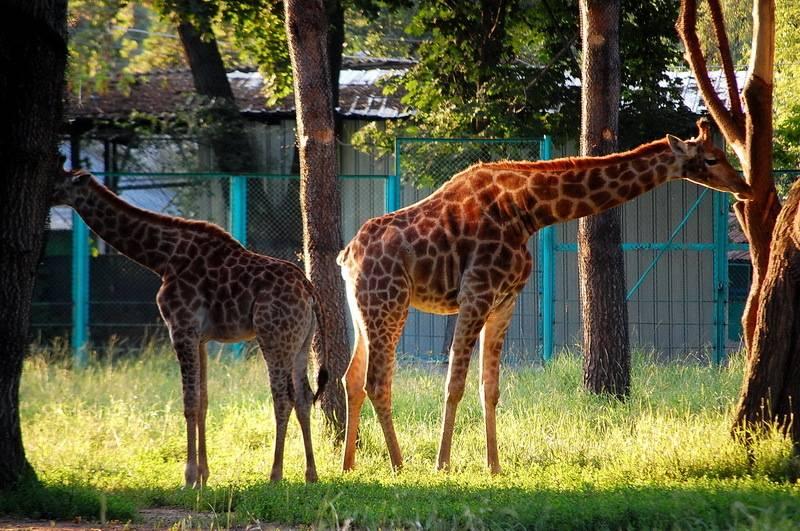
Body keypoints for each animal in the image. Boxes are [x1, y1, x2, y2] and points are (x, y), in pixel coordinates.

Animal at [51, 168, 326, 488]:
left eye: (57, 182)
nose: (46, 196)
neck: (162, 258)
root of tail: (309, 290)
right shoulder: (201, 338)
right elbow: (204, 400)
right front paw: (204, 475)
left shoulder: (181, 328)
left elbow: (189, 402)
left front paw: (189, 477)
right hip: (301, 342)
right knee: (305, 397)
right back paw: (311, 474)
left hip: (274, 337)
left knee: (283, 398)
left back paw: (275, 475)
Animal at [336, 122, 752, 476]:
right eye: (711, 158)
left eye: (723, 153)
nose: (744, 185)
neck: (530, 210)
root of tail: (347, 255)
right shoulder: (477, 293)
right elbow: (455, 383)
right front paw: (443, 465)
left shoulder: (504, 302)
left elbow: (490, 387)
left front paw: (494, 466)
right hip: (389, 302)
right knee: (377, 381)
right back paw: (398, 464)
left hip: (364, 310)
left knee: (351, 378)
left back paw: (348, 465)